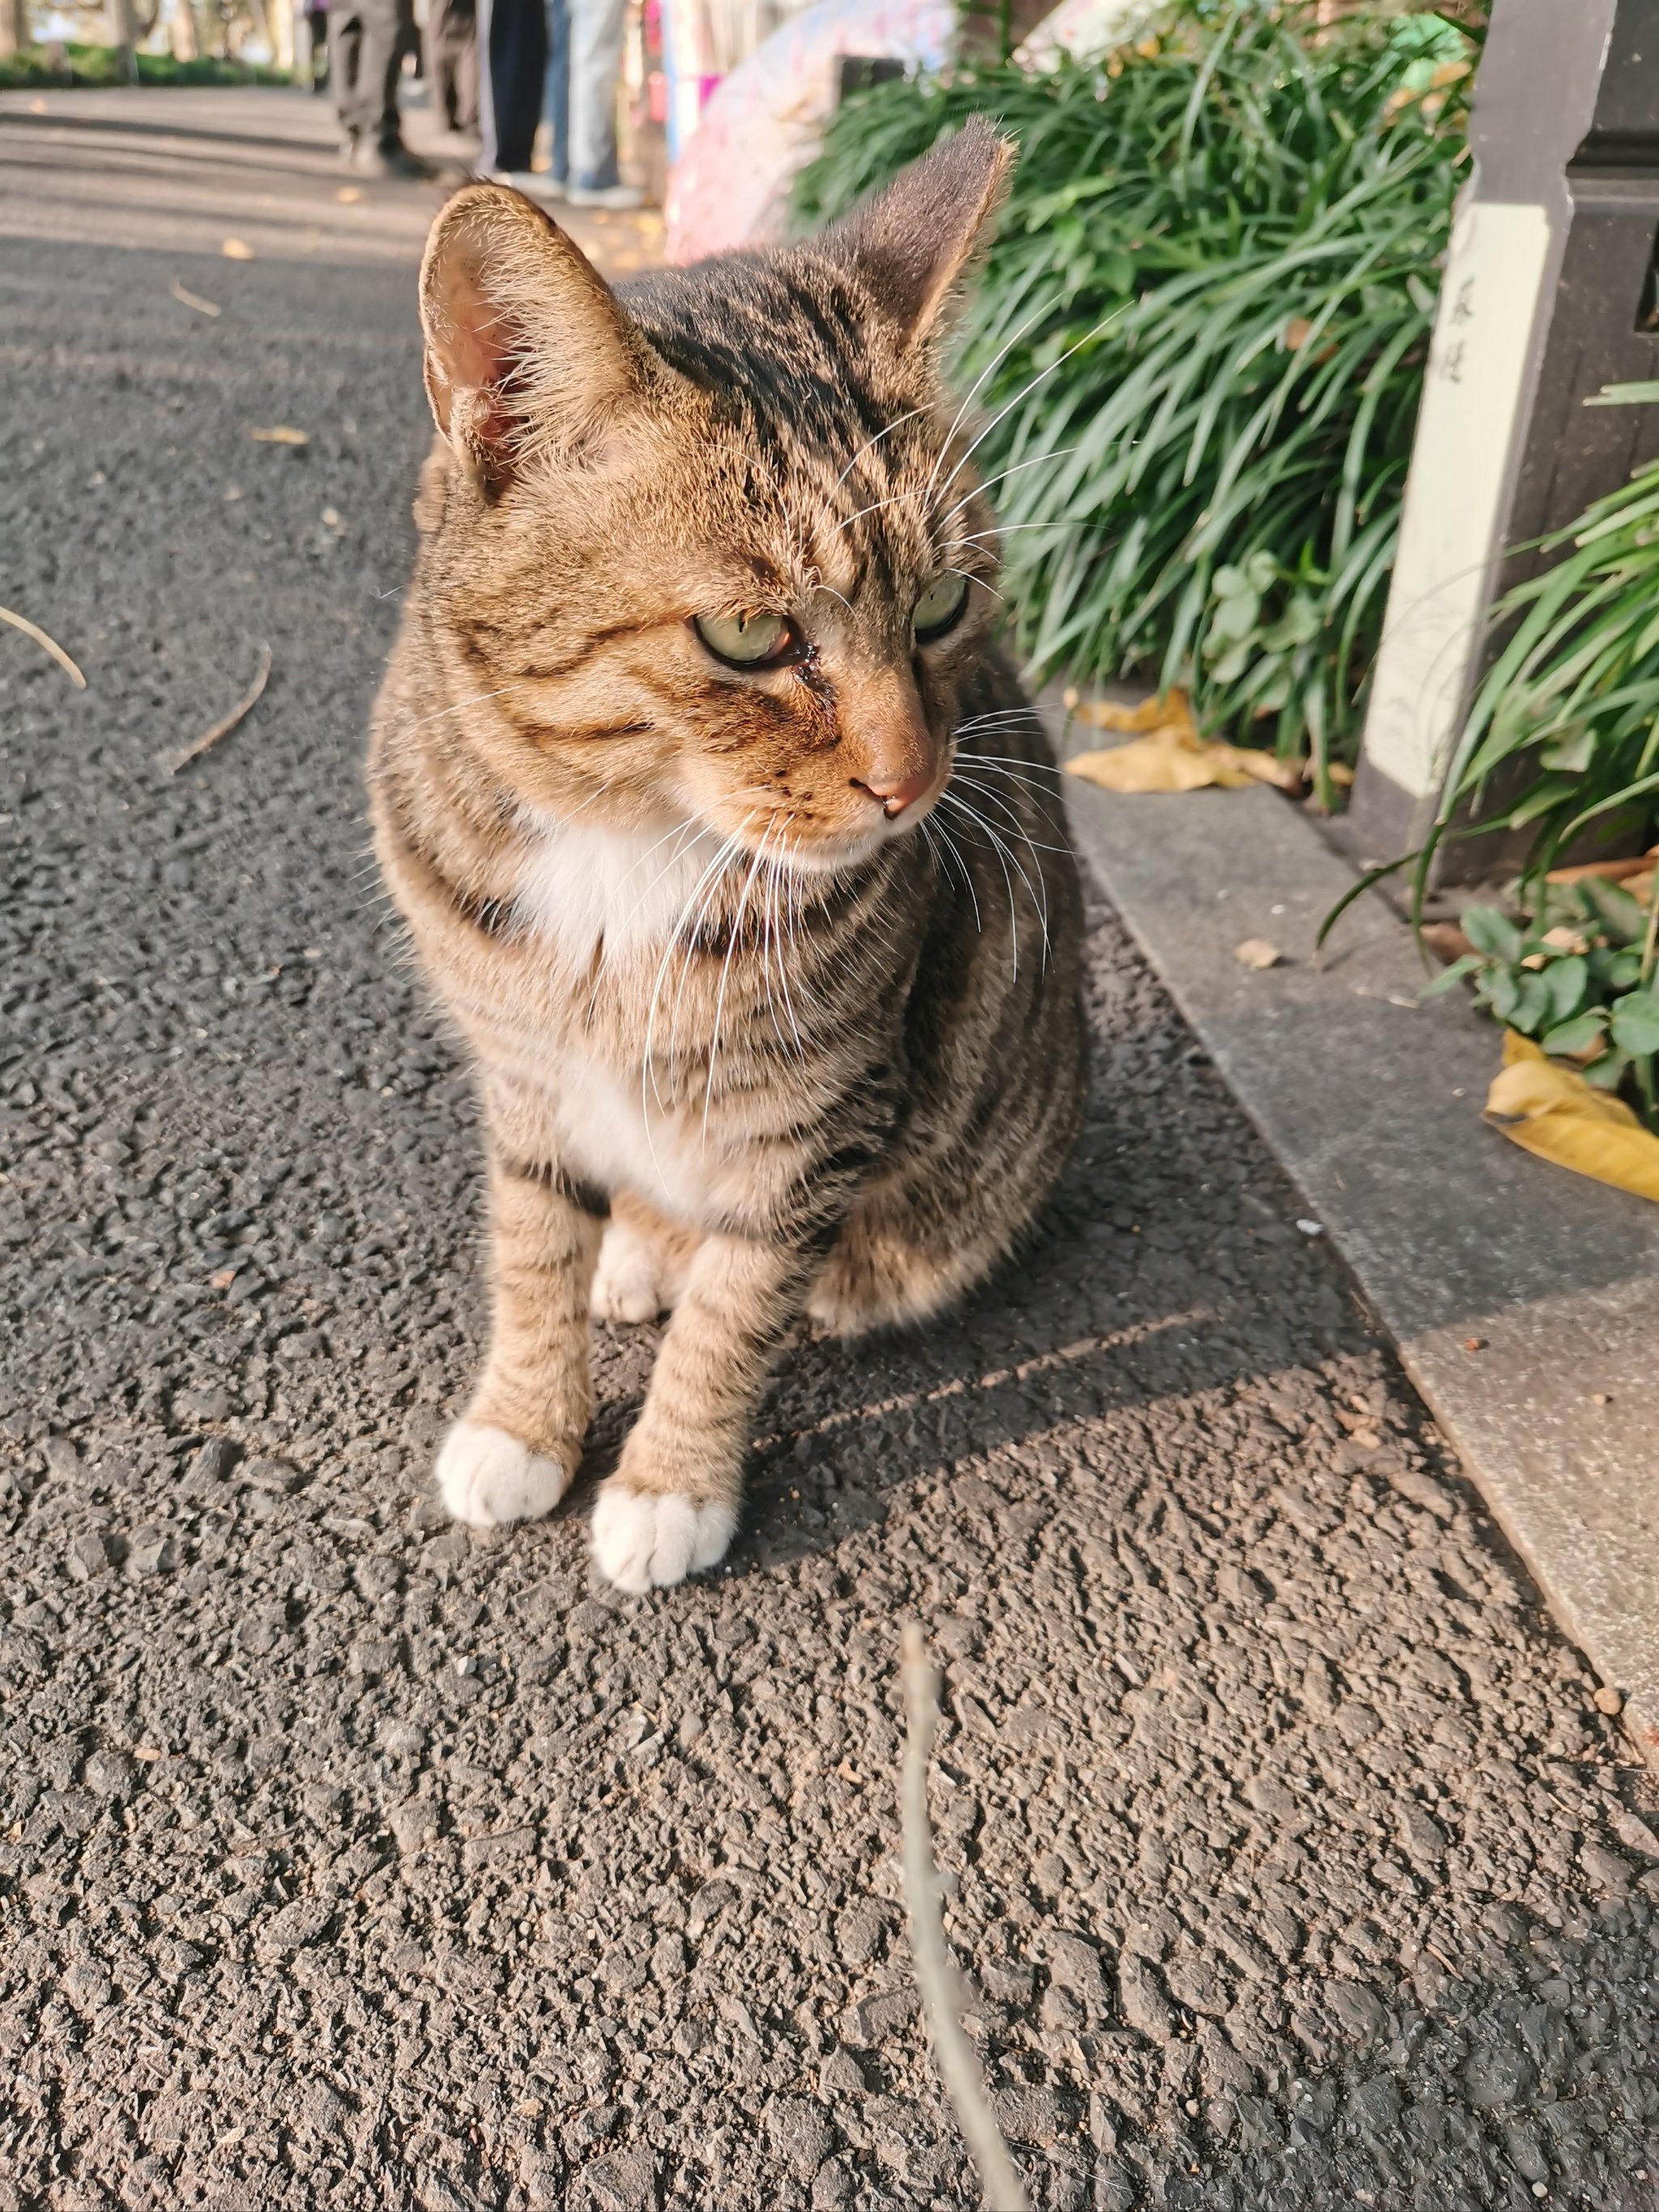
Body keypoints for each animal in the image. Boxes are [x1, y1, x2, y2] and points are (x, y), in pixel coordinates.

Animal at [367, 121, 1092, 1592]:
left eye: (943, 602)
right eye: (751, 633)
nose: (910, 785)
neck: (625, 839)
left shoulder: (815, 1118)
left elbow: (735, 1307)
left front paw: (668, 1485)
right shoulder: (523, 1077)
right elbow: (529, 1247)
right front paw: (522, 1422)